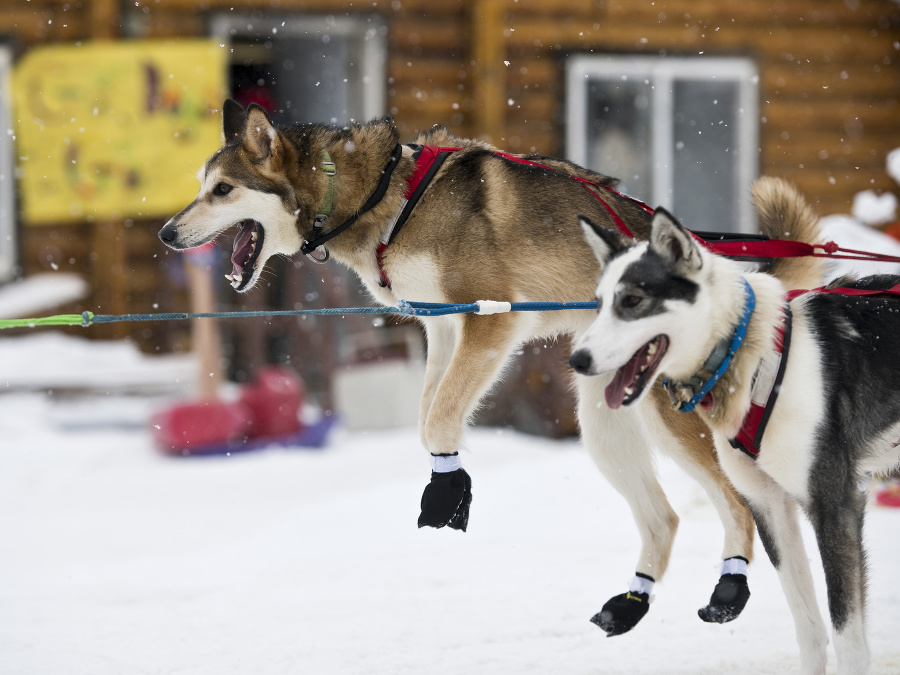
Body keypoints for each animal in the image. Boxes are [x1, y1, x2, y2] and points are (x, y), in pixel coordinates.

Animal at [568, 180, 900, 675]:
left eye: (632, 301)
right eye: (599, 303)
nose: (578, 359)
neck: (756, 357)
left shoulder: (834, 506)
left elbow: (848, 640)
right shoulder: (769, 505)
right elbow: (809, 628)